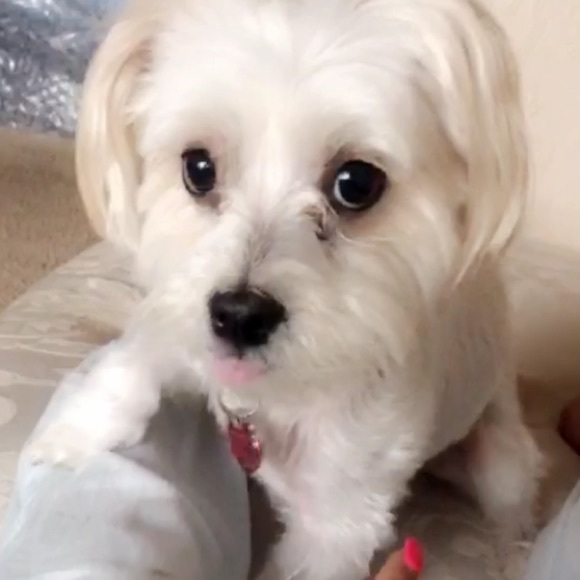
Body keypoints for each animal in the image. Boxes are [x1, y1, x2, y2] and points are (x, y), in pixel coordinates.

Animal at [28, 0, 544, 578]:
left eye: (356, 183)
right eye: (197, 167)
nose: (238, 316)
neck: (274, 393)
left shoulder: (334, 529)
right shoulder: (181, 311)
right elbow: (138, 357)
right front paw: (73, 434)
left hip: (502, 461)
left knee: (511, 501)